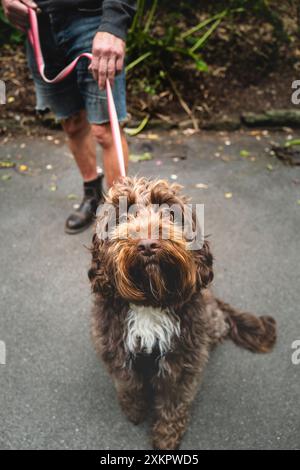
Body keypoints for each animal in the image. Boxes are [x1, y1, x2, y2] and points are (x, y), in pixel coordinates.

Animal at [87, 176, 276, 448]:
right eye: (122, 216)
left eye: (168, 211)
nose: (148, 244)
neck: (151, 301)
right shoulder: (116, 350)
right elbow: (129, 384)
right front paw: (135, 411)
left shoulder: (181, 361)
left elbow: (173, 402)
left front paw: (166, 437)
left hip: (210, 322)